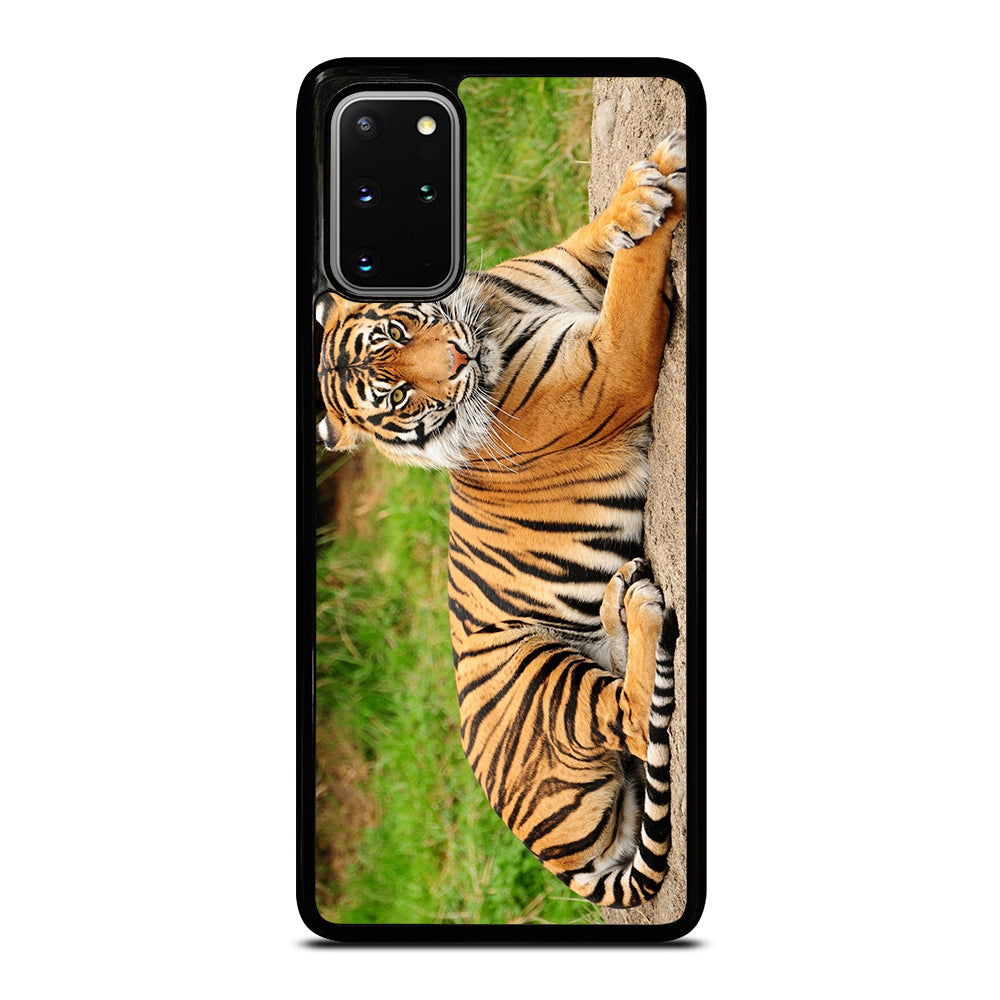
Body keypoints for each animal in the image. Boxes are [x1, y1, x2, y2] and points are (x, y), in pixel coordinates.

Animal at [315, 130, 686, 908]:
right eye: (395, 394)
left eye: (398, 326)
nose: (458, 361)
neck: (489, 317)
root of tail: (559, 862)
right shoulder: (609, 367)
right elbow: (634, 280)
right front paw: (656, 194)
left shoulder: (567, 269)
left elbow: (601, 237)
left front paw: (642, 190)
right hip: (538, 674)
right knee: (634, 717)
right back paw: (639, 609)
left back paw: (619, 599)